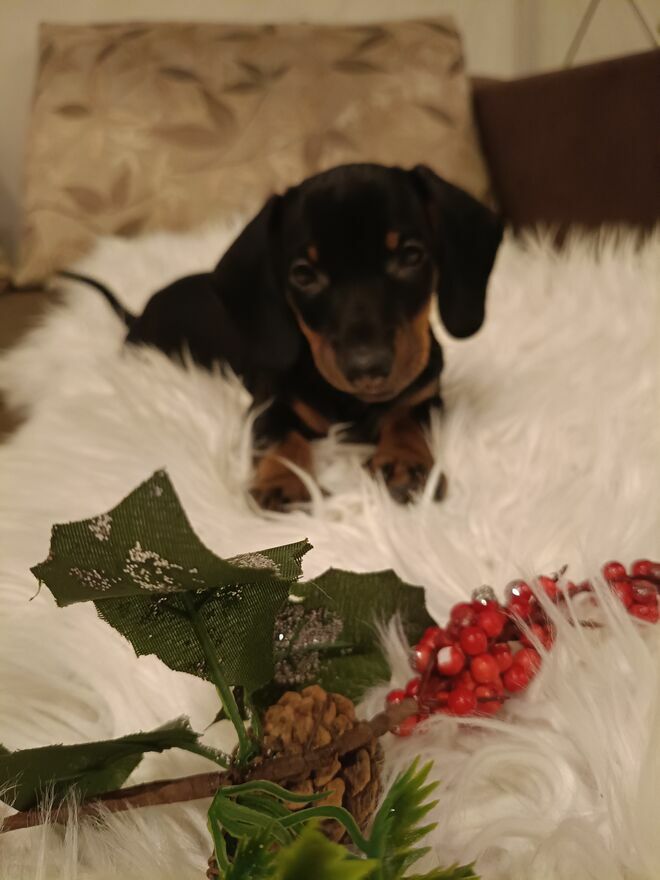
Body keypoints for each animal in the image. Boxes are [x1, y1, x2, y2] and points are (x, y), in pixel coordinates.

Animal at [62, 163, 503, 510]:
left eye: (411, 255)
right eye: (303, 274)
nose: (368, 369)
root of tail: (140, 311)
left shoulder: (425, 397)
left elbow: (405, 419)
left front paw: (405, 464)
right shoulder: (268, 403)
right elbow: (281, 439)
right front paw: (284, 482)